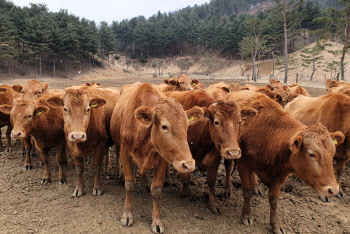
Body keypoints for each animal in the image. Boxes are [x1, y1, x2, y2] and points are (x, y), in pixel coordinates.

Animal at [110, 83, 201, 233]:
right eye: (164, 126)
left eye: (187, 126)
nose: (188, 164)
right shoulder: (124, 153)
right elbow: (129, 184)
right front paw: (127, 214)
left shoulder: (162, 158)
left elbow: (157, 190)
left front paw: (157, 221)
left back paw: (145, 185)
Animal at [226, 90, 344, 233]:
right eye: (311, 154)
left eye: (333, 152)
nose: (334, 189)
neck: (270, 136)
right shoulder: (243, 164)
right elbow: (247, 191)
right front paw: (246, 215)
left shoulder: (279, 175)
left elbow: (273, 200)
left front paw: (276, 225)